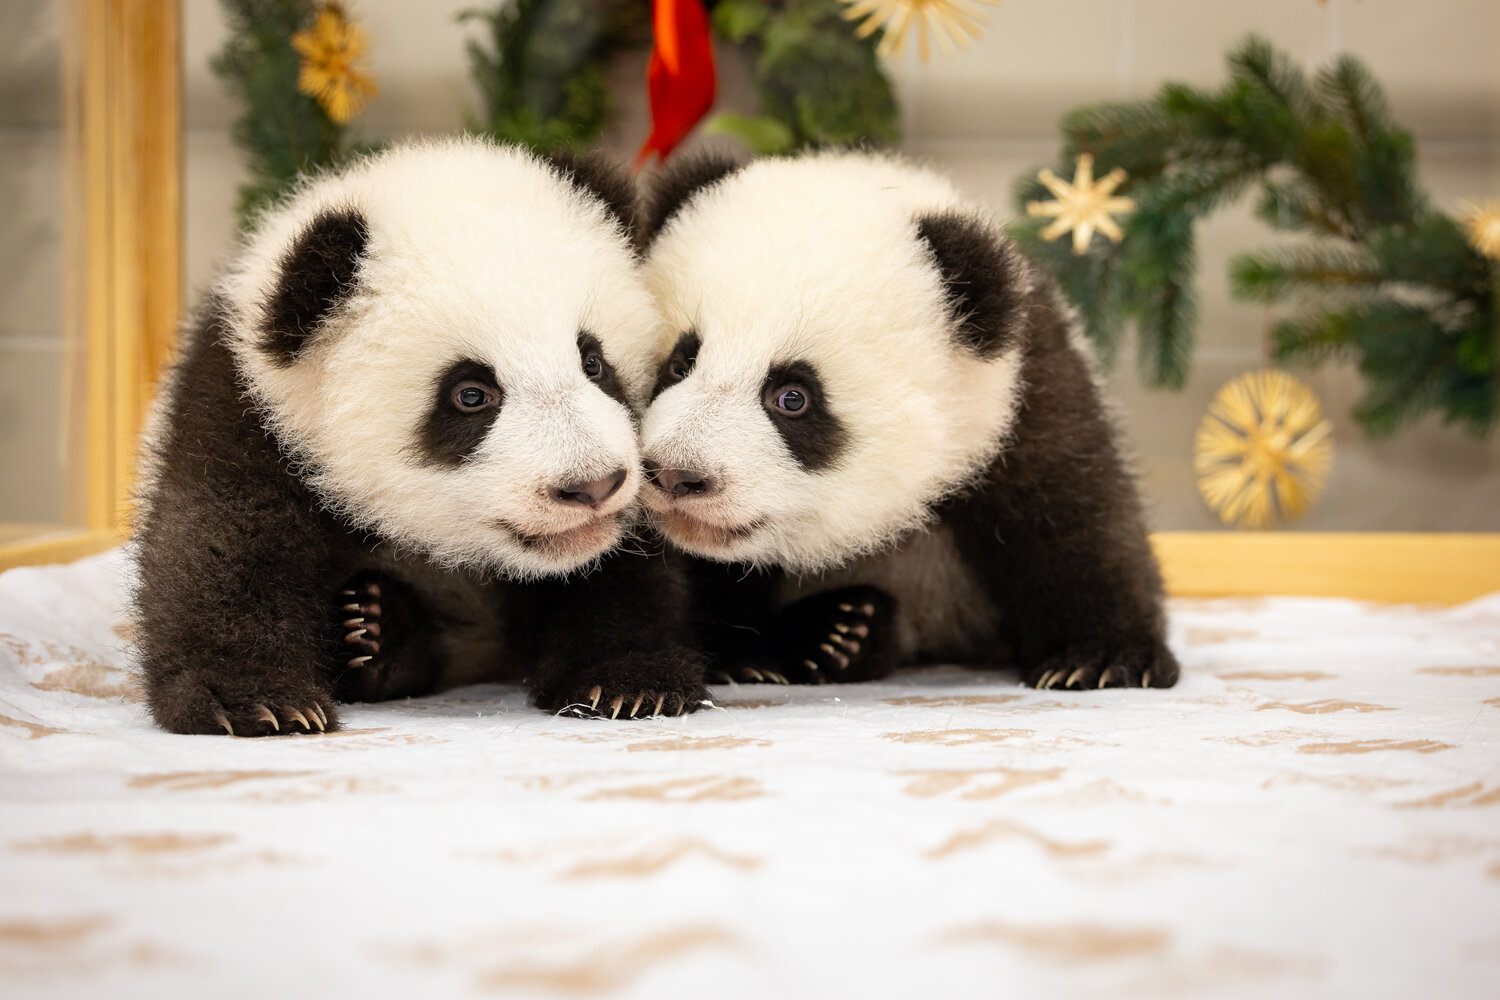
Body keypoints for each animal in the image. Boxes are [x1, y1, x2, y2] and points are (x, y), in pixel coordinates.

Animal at [133, 137, 709, 736]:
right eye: (471, 395)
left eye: (593, 363)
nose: (593, 486)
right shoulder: (245, 411)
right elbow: (224, 544)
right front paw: (255, 700)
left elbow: (624, 575)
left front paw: (628, 683)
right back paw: (368, 630)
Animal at [636, 151, 1179, 691]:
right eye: (680, 364)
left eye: (792, 398)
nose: (676, 475)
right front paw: (740, 655)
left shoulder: (1025, 393)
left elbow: (1072, 510)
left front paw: (1102, 658)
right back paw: (838, 631)